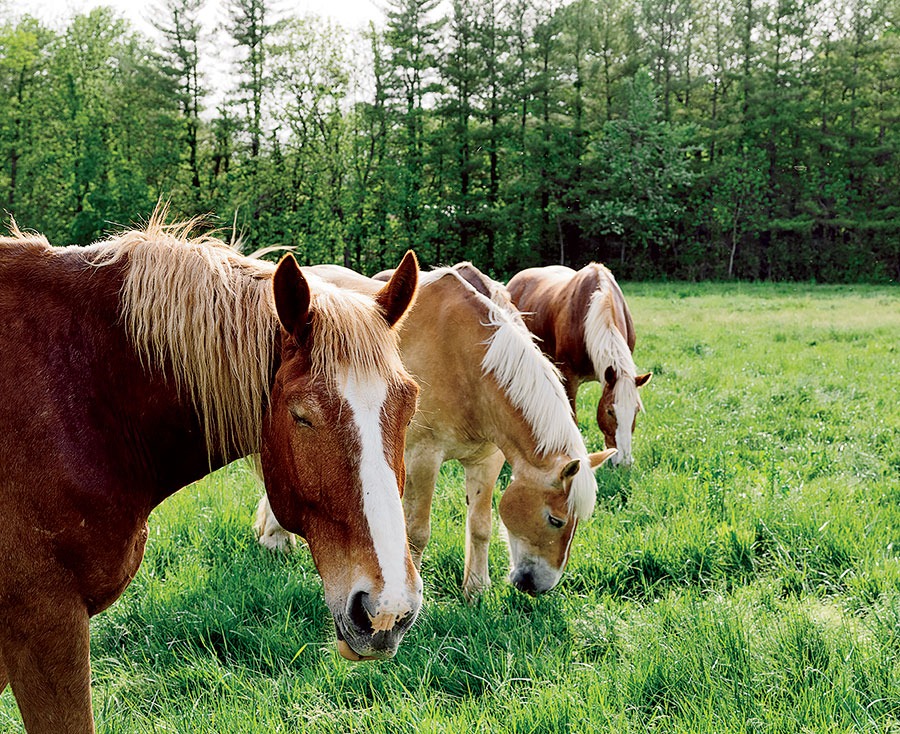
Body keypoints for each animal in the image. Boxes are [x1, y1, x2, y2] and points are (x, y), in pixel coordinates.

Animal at [256, 264, 616, 600]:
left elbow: (480, 526)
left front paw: (476, 590)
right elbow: (417, 531)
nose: (538, 586)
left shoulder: (486, 461)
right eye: (556, 520)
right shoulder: (424, 458)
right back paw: (276, 537)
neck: (465, 361)